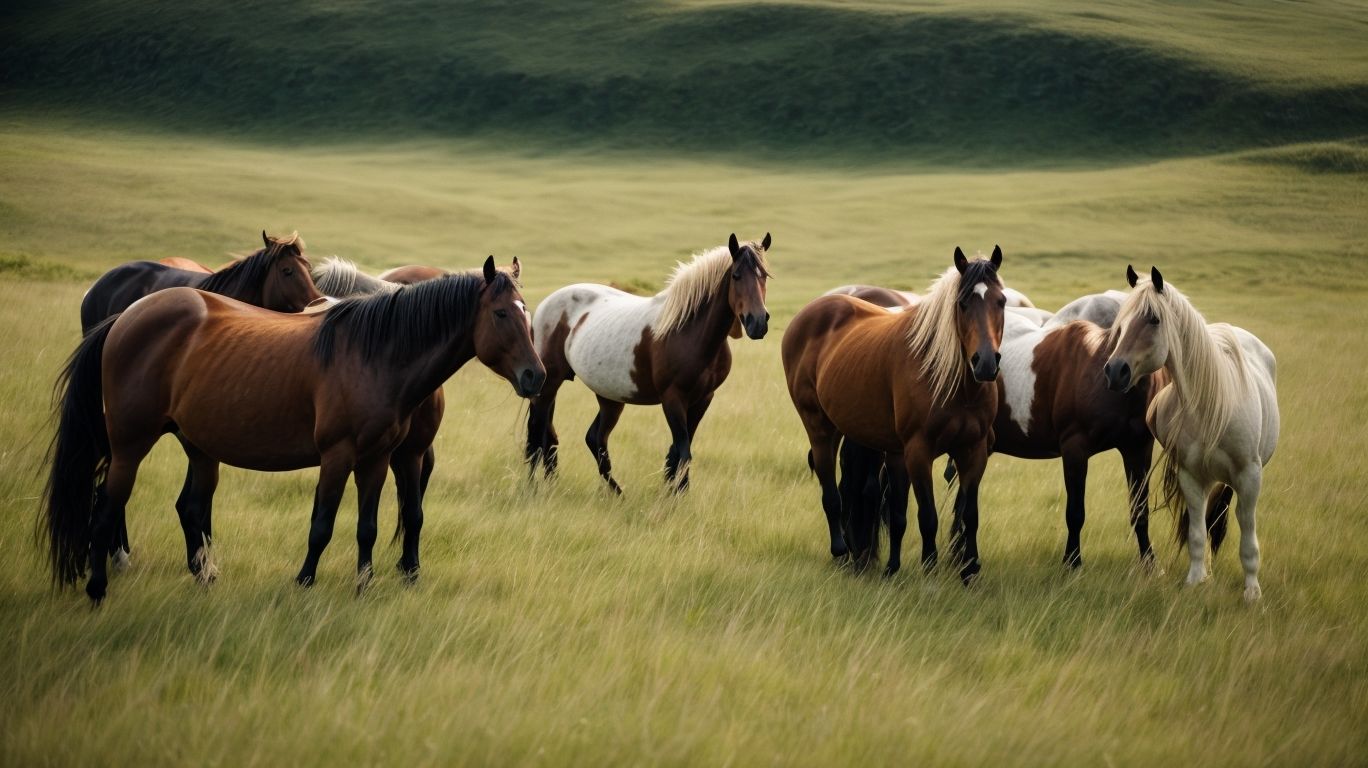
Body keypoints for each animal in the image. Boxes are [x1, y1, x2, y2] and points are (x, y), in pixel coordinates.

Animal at [43, 257, 544, 602]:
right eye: (502, 314)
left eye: (528, 312)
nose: (535, 376)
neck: (374, 354)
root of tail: (124, 319)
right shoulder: (338, 456)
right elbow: (321, 524)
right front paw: (304, 581)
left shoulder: (378, 458)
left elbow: (368, 526)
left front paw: (364, 586)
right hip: (130, 445)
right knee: (106, 507)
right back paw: (98, 589)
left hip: (198, 446)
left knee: (189, 507)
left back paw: (205, 578)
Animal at [526, 234, 771, 493]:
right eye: (736, 276)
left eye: (764, 275)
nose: (757, 322)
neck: (689, 330)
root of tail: (545, 305)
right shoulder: (672, 398)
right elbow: (683, 451)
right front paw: (677, 495)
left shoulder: (704, 398)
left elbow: (677, 452)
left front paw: (671, 492)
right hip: (549, 385)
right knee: (538, 433)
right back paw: (534, 486)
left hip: (610, 397)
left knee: (592, 438)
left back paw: (614, 492)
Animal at [783, 247, 1005, 582]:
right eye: (962, 303)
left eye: (1001, 301)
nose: (986, 362)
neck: (955, 384)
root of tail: (808, 314)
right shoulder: (919, 452)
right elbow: (927, 516)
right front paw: (930, 569)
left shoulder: (973, 450)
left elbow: (968, 514)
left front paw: (969, 570)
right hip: (821, 427)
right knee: (831, 490)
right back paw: (841, 551)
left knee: (868, 496)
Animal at [1104, 266, 1279, 602]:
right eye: (1122, 321)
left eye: (1153, 319)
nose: (1114, 371)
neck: (1209, 405)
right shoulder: (1191, 476)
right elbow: (1197, 532)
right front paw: (1196, 580)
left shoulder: (1249, 477)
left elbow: (1247, 534)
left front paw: (1252, 592)